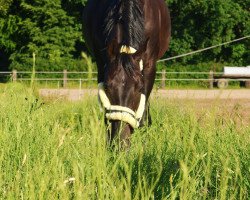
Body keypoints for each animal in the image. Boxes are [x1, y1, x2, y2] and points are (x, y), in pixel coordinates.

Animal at [83, 0, 171, 145]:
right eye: (107, 86)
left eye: (139, 87)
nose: (120, 142)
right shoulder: (101, 63)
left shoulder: (149, 65)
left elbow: (143, 110)